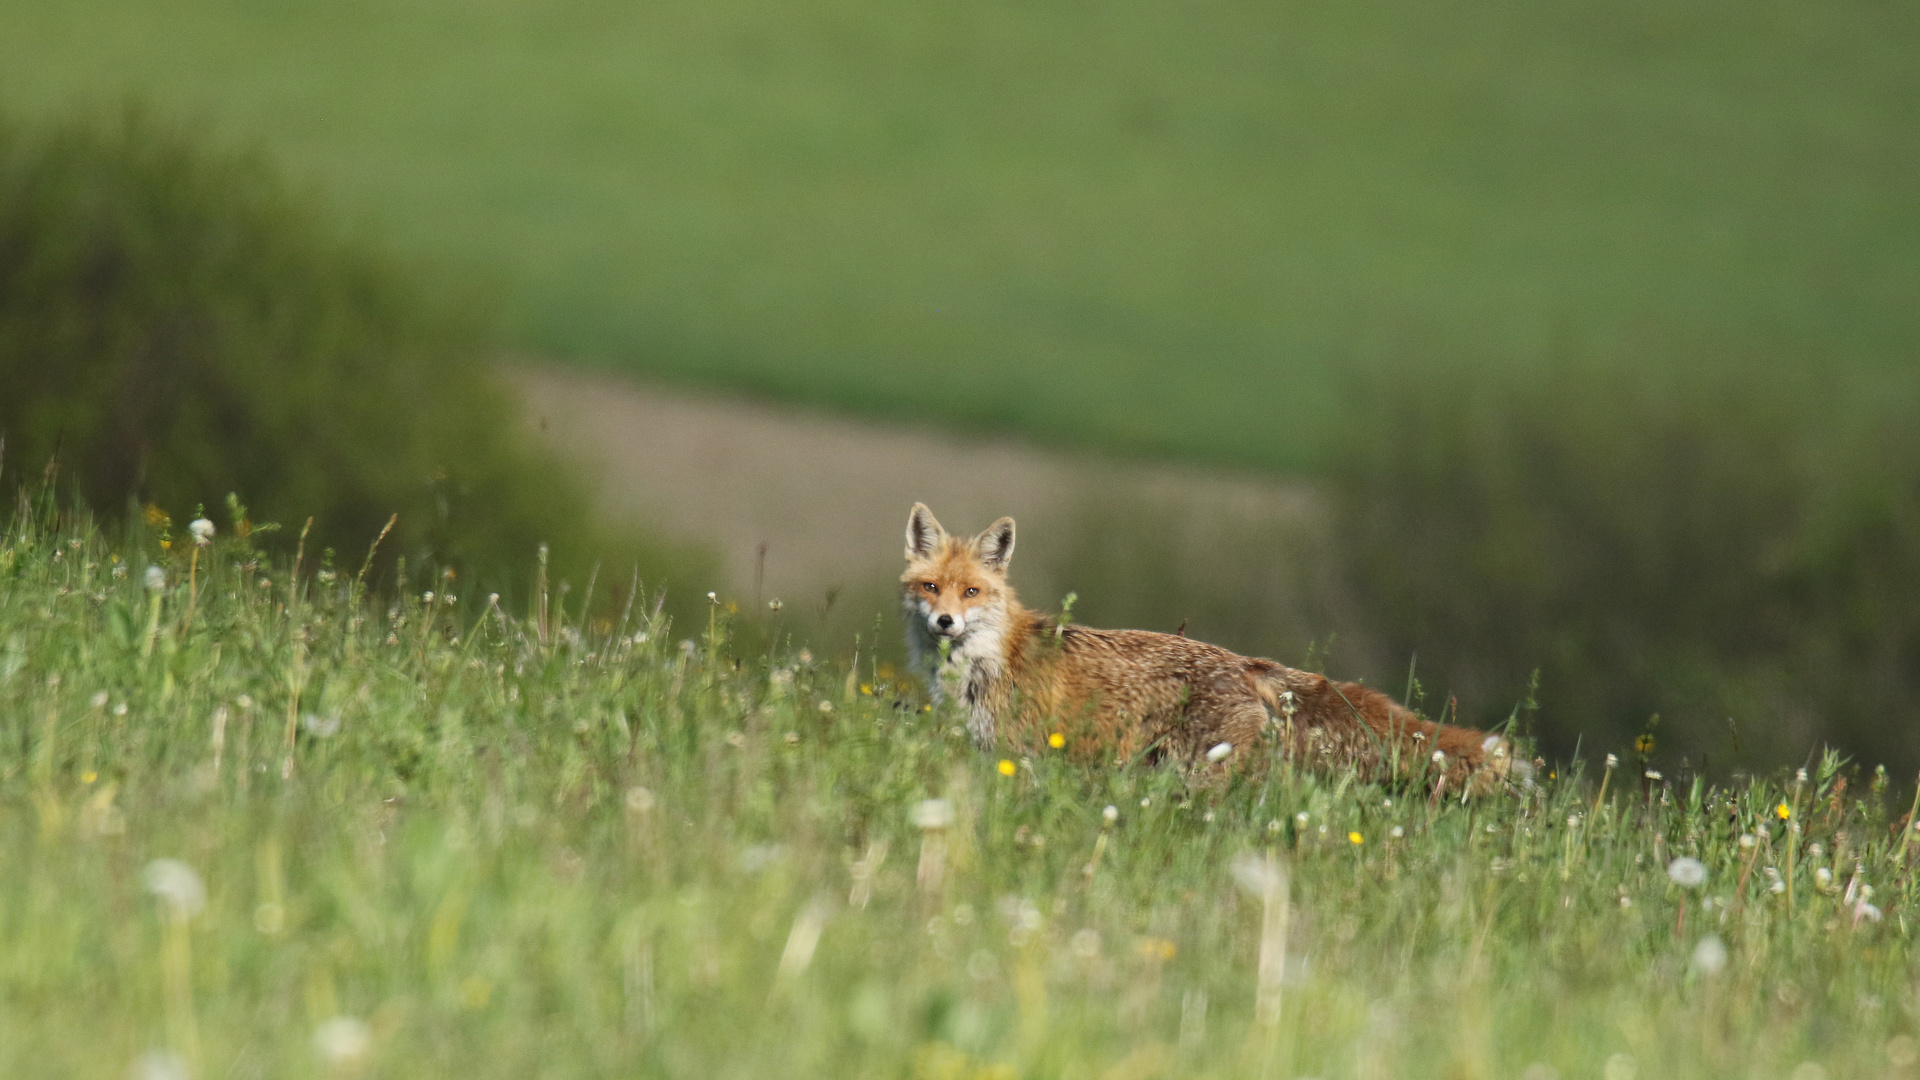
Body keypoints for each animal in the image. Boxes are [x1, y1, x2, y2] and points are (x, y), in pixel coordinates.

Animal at [902, 499, 1512, 787]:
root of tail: (1245, 663)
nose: (946, 623)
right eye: (930, 588)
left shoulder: (1017, 754)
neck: (982, 664)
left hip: (1199, 773)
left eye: (972, 591)